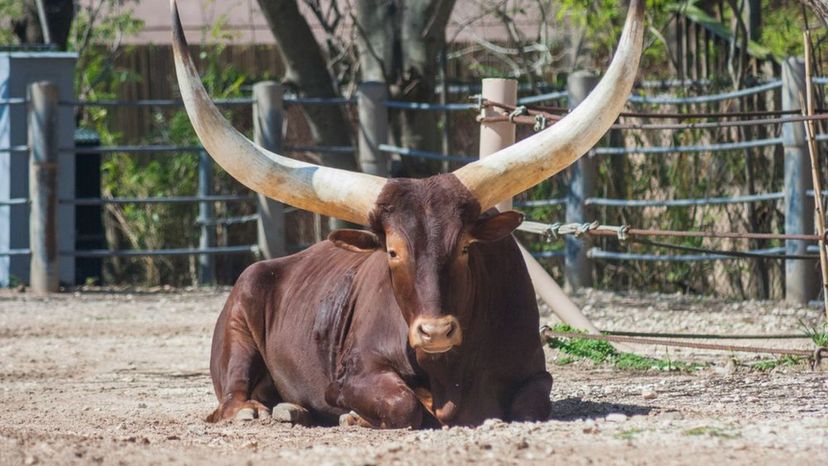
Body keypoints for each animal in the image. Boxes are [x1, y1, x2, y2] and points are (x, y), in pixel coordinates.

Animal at [170, 0, 648, 428]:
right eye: (392, 252)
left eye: (465, 248)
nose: (434, 332)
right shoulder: (353, 374)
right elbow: (403, 404)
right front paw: (357, 417)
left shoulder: (534, 372)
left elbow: (531, 402)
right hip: (239, 322)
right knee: (231, 397)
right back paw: (260, 410)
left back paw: (293, 409)